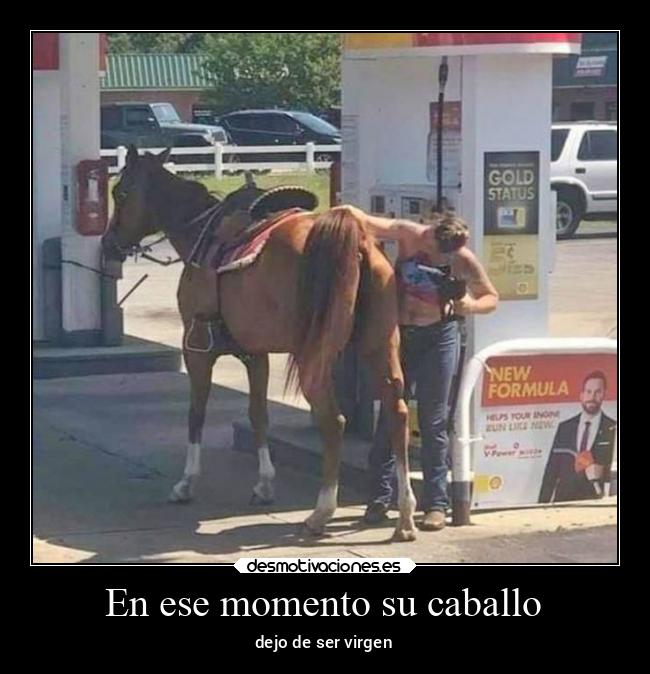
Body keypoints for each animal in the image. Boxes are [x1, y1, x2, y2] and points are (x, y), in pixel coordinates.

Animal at [101, 146, 417, 541]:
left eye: (120, 193)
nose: (108, 244)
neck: (202, 236)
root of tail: (353, 239)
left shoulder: (197, 348)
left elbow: (196, 413)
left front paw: (186, 483)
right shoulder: (257, 354)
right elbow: (258, 414)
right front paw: (265, 484)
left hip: (314, 356)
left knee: (333, 421)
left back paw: (321, 512)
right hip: (379, 346)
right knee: (397, 411)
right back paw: (405, 514)